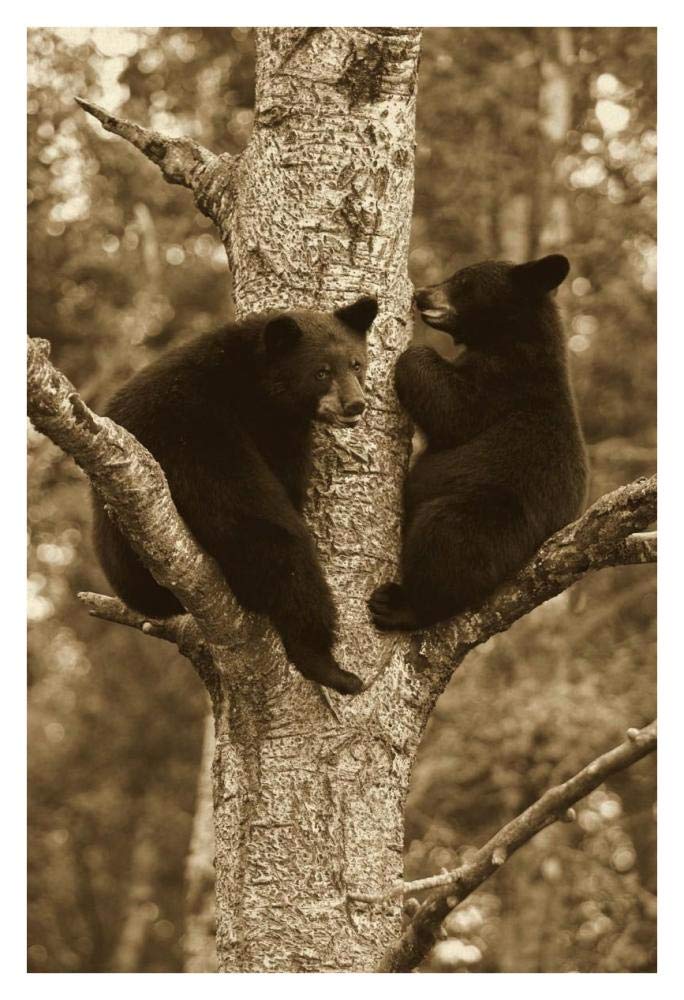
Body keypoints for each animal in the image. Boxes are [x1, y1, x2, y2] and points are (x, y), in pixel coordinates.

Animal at [93, 296, 378, 694]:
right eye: (321, 372)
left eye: (356, 364)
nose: (355, 404)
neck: (254, 388)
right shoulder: (207, 429)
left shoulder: (280, 434)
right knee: (282, 549)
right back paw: (328, 666)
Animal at [368, 254, 587, 631]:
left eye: (463, 282)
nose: (422, 295)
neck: (511, 337)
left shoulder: (504, 381)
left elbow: (453, 408)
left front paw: (410, 351)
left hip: (495, 516)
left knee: (447, 540)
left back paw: (401, 605)